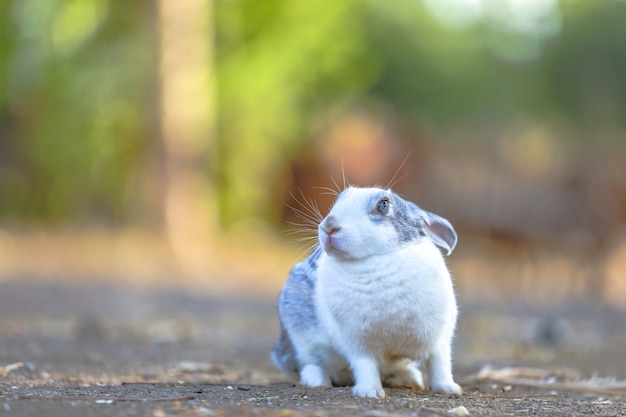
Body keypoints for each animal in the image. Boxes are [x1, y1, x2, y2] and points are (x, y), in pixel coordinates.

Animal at [270, 187, 460, 398]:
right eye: (340, 199)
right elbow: (365, 366)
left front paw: (449, 389)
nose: (329, 225)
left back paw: (409, 379)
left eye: (383, 205)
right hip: (303, 345)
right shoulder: (357, 343)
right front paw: (370, 392)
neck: (377, 258)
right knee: (308, 366)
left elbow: (440, 365)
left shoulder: (441, 340)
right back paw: (318, 381)